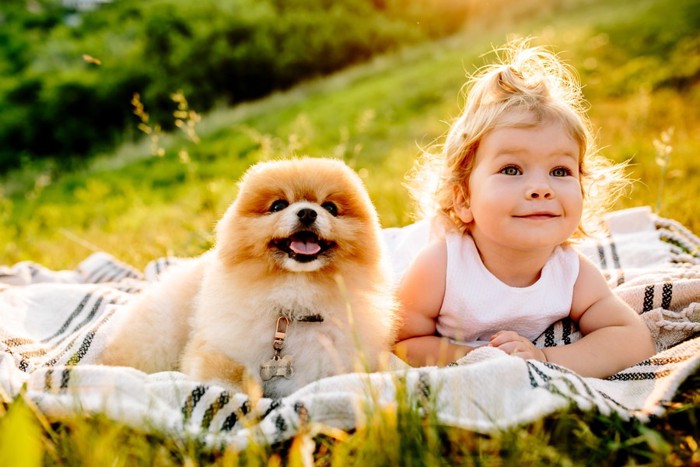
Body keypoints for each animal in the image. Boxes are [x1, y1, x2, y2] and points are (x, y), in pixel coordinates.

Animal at [98, 158, 396, 398]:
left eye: (330, 208)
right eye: (278, 205)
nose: (307, 212)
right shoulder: (216, 347)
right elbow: (230, 375)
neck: (294, 300)